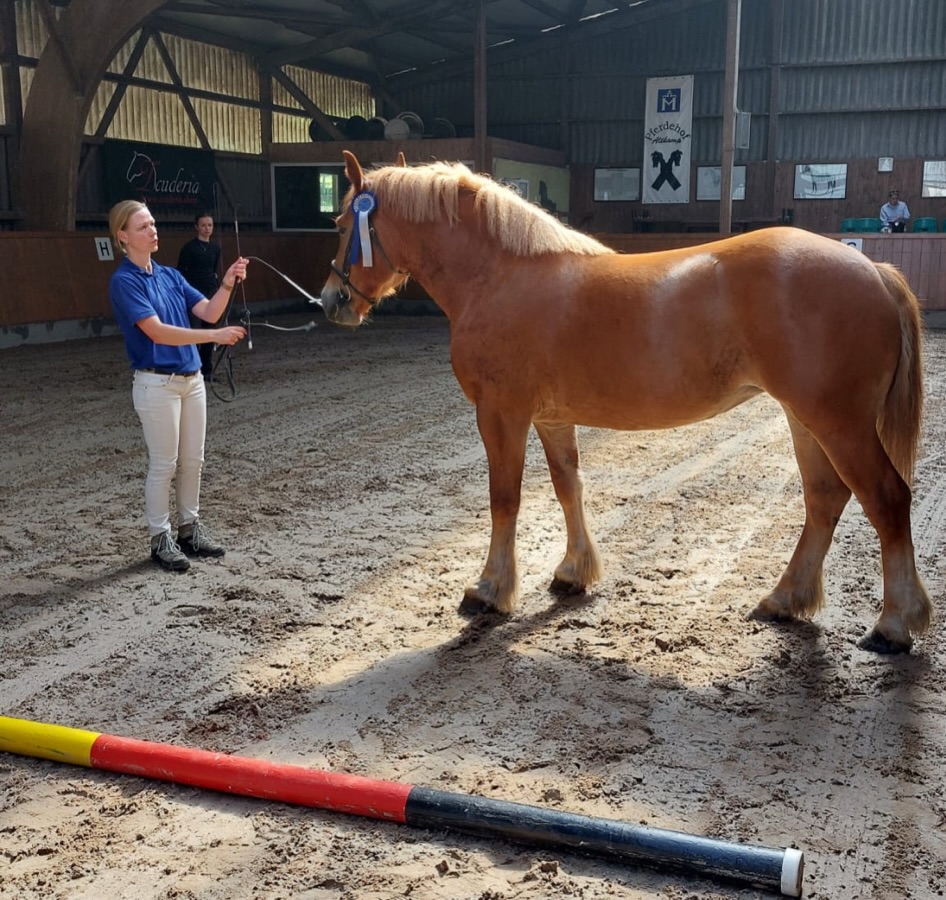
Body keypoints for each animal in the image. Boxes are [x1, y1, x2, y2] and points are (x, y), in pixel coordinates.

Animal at [320, 150, 932, 655]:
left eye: (344, 223)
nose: (331, 301)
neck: (501, 275)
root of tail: (874, 270)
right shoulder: (551, 419)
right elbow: (567, 486)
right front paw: (573, 572)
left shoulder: (501, 414)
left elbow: (505, 500)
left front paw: (490, 589)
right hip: (806, 420)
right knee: (824, 500)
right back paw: (785, 600)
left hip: (840, 424)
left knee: (886, 499)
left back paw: (893, 625)